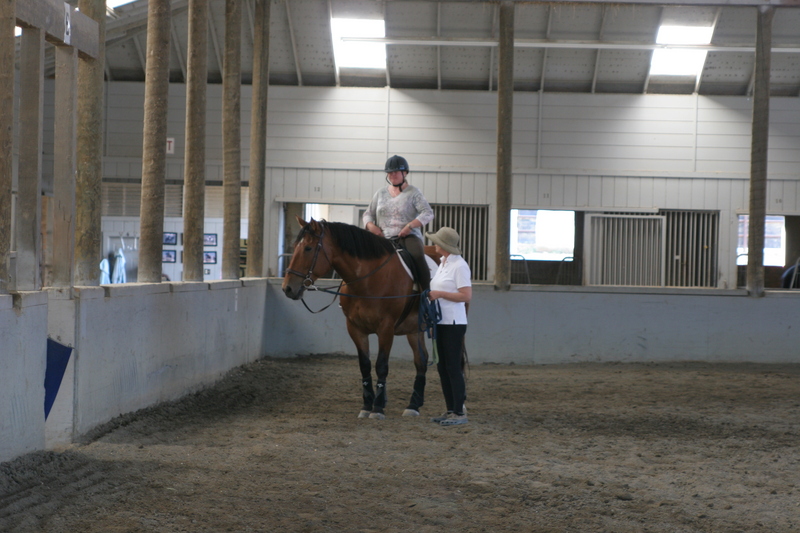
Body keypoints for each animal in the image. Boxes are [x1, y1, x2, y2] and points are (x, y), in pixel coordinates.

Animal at [282, 217, 437, 420]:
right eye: (295, 246)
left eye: (308, 248)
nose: (287, 288)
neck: (368, 279)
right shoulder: (355, 328)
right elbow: (364, 365)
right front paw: (367, 405)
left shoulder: (386, 328)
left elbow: (381, 365)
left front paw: (377, 408)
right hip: (413, 330)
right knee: (421, 360)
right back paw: (413, 405)